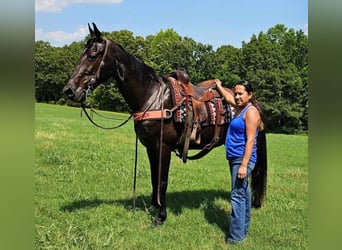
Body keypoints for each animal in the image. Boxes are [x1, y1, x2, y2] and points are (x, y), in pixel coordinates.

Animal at [63, 23, 268, 226]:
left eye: (92, 55)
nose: (69, 90)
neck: (153, 97)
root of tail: (253, 102)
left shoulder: (163, 147)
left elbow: (162, 180)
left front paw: (161, 216)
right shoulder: (150, 147)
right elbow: (155, 178)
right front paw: (154, 206)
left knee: (255, 173)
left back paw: (255, 205)